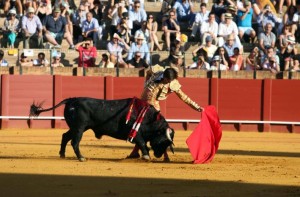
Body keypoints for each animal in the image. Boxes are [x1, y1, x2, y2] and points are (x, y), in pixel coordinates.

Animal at [29, 97, 175, 162]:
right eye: (163, 141)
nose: (159, 155)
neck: (148, 118)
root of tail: (72, 100)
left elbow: (142, 144)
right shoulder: (136, 133)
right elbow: (143, 143)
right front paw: (146, 156)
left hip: (77, 128)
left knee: (65, 136)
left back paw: (62, 154)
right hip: (79, 128)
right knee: (74, 142)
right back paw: (81, 158)